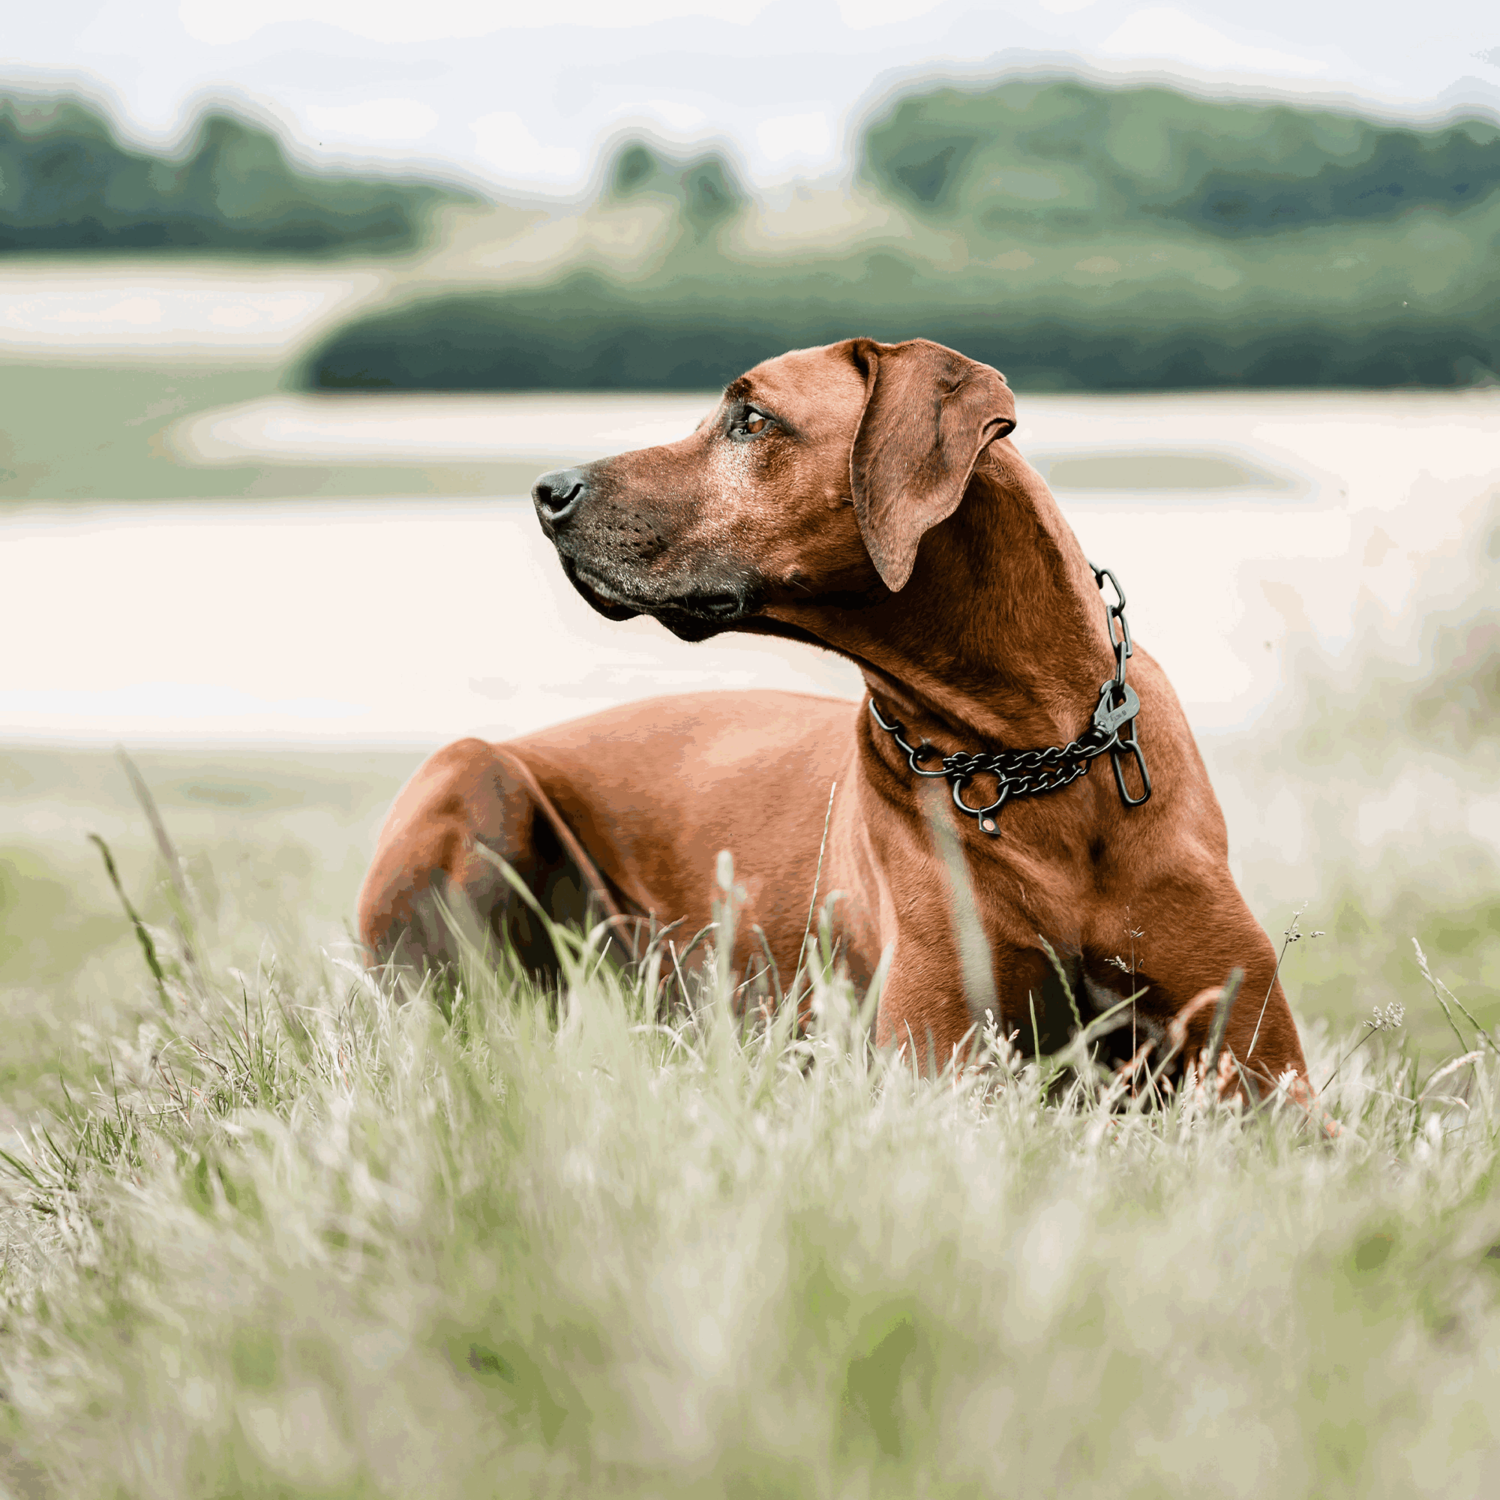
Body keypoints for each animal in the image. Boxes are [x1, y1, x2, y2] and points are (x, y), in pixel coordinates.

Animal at [357, 337, 1308, 1092]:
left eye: (751, 420)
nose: (547, 492)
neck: (1029, 755)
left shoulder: (1267, 1083)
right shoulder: (940, 1066)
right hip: (474, 771)